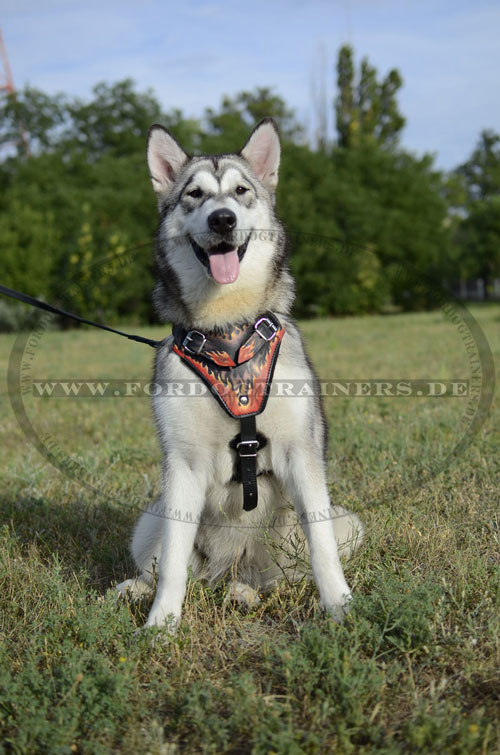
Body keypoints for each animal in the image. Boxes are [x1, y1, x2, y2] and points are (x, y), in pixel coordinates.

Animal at [117, 118, 364, 628]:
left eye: (240, 191)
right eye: (194, 194)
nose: (222, 220)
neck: (228, 334)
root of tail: (228, 569)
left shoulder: (301, 454)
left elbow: (322, 549)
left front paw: (340, 608)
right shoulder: (184, 464)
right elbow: (173, 562)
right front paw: (161, 625)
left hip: (343, 524)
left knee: (278, 576)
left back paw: (245, 593)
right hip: (151, 517)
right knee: (169, 563)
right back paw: (137, 590)